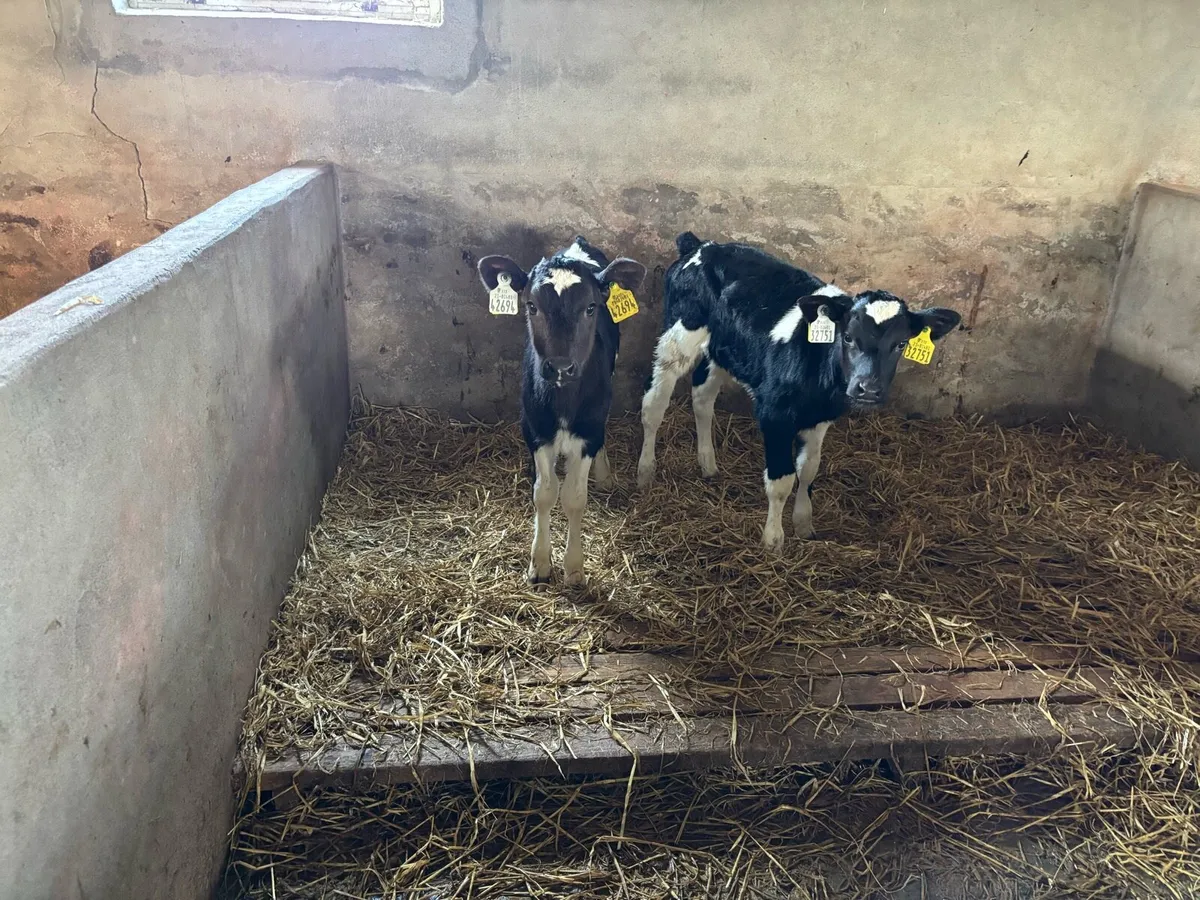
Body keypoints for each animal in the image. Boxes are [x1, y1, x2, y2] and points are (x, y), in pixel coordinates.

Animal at [478, 237, 646, 585]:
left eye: (591, 307)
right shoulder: (534, 429)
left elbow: (574, 497)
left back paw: (604, 474)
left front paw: (574, 567)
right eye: (531, 306)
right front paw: (540, 563)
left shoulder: (588, 431)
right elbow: (544, 493)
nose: (559, 366)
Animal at [636, 232, 961, 553]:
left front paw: (804, 524)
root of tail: (701, 245)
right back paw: (646, 471)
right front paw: (773, 541)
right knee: (655, 404)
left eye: (901, 344)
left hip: (722, 350)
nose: (868, 388)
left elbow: (808, 470)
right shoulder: (775, 414)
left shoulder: (820, 419)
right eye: (847, 337)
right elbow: (782, 480)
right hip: (678, 337)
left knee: (703, 397)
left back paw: (708, 465)